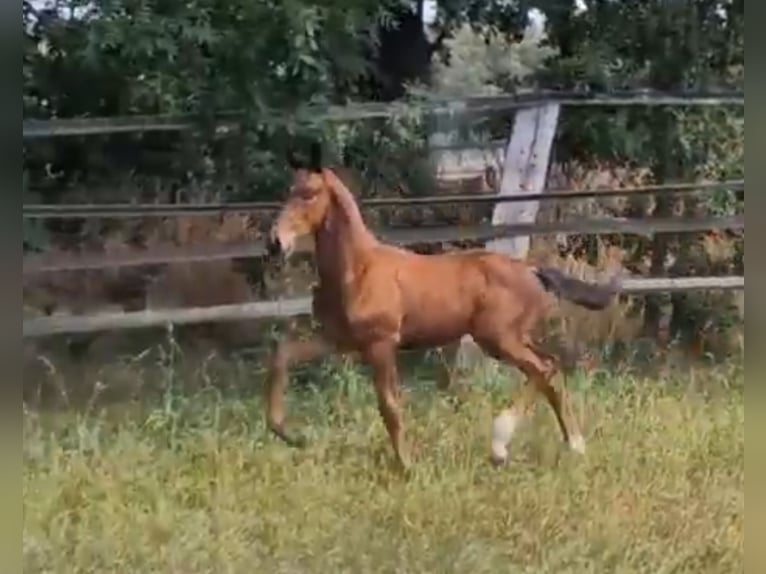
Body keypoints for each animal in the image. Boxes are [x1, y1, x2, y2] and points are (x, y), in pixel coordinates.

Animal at [264, 142, 620, 470]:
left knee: (543, 369)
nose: (274, 243)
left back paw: (501, 444)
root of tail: (532, 271)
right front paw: (290, 435)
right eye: (288, 191)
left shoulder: (381, 343)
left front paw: (407, 466)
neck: (357, 269)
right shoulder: (338, 340)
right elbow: (282, 356)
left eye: (309, 193)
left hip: (498, 338)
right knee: (551, 369)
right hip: (513, 337)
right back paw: (573, 445)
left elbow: (389, 405)